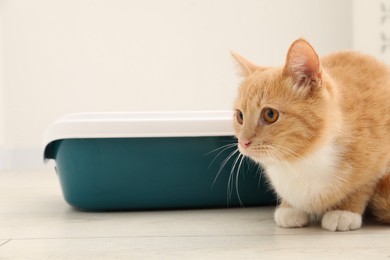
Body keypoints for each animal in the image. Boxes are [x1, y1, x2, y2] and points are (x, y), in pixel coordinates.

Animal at [232, 38, 390, 232]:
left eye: (270, 114)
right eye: (240, 116)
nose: (243, 142)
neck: (302, 160)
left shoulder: (380, 161)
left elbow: (363, 186)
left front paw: (344, 211)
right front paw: (289, 207)